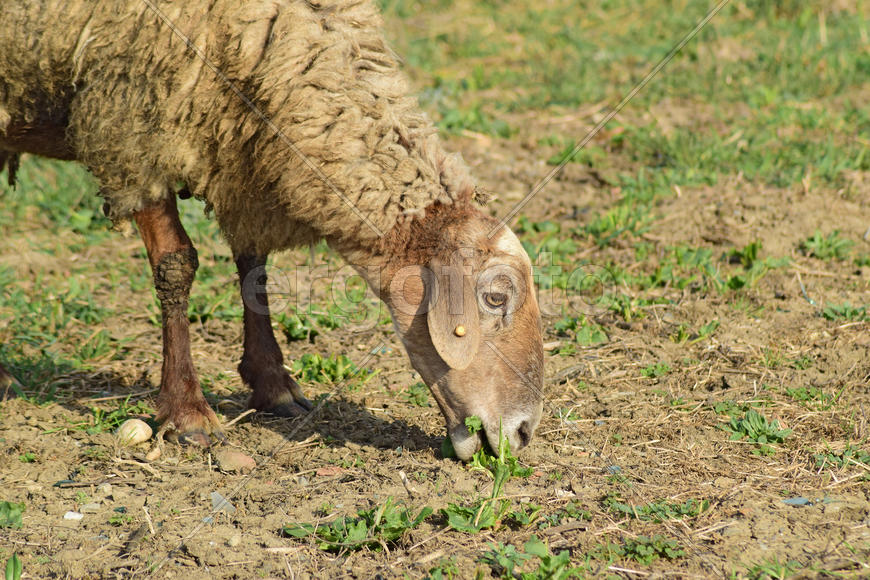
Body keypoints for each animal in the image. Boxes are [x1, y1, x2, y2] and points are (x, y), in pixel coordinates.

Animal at [0, 0, 544, 460]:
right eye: (496, 298)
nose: (522, 432)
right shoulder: (132, 125)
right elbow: (176, 265)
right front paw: (187, 411)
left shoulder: (244, 152)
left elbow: (253, 267)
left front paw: (272, 385)